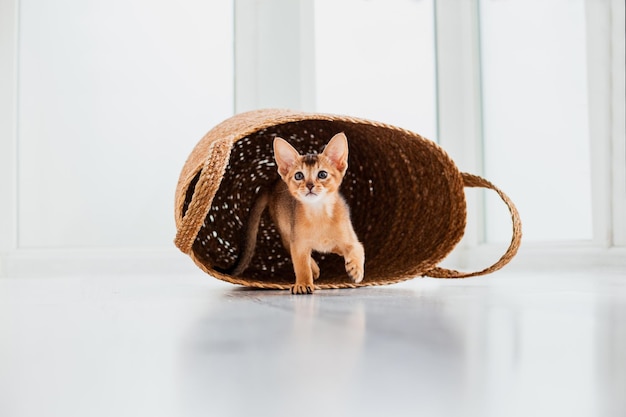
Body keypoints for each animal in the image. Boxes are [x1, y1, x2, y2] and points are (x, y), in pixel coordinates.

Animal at [232, 132, 364, 292]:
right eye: (299, 176)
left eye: (322, 174)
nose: (310, 185)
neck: (319, 214)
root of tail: (273, 185)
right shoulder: (298, 243)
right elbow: (301, 264)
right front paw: (303, 284)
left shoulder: (349, 238)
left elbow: (357, 248)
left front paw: (356, 269)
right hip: (285, 230)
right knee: (290, 247)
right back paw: (314, 269)